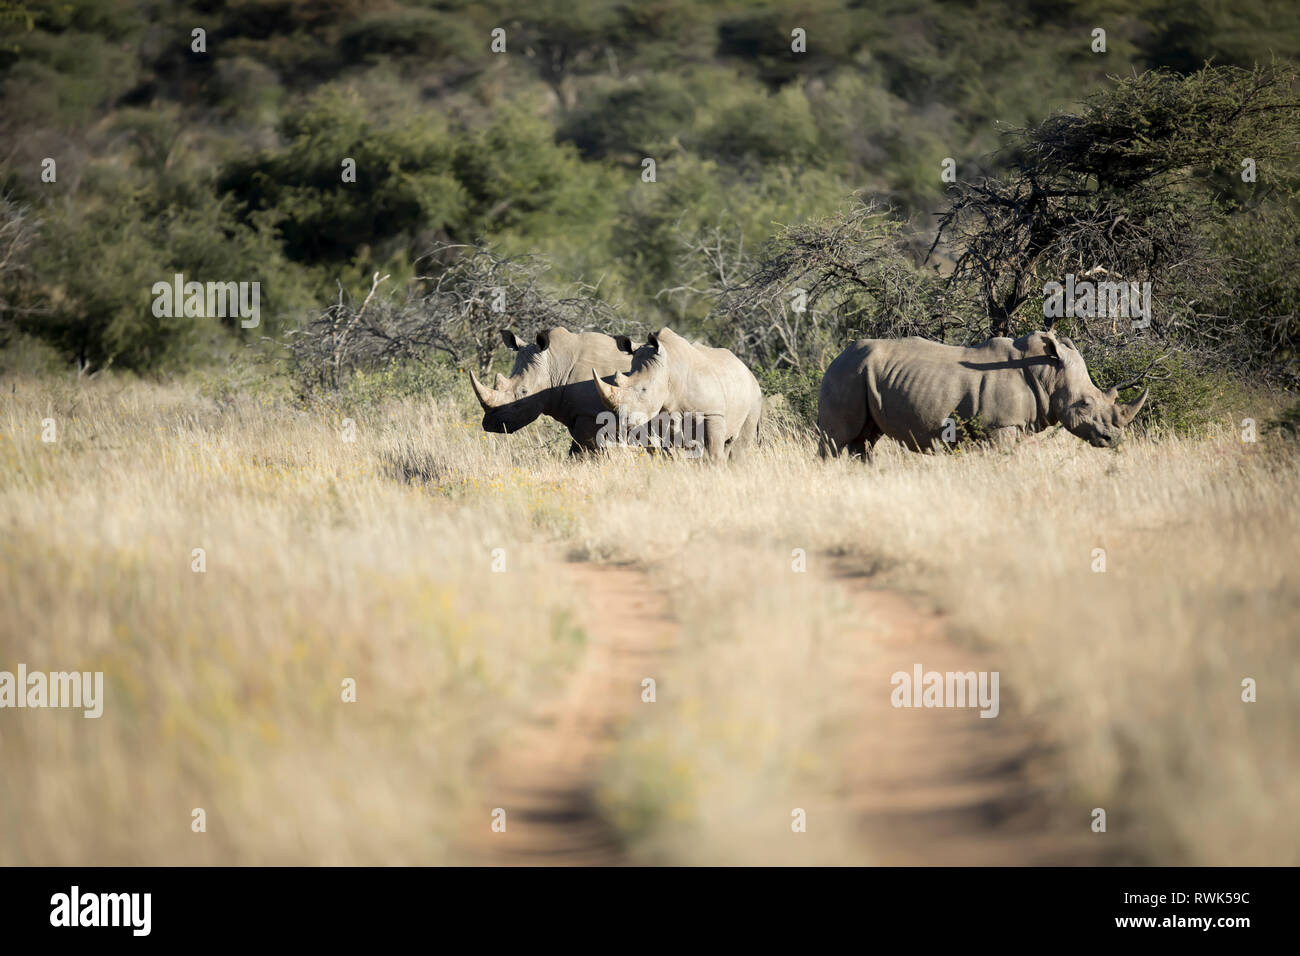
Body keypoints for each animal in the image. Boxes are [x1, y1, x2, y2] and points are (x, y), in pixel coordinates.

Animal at [470, 329, 637, 455]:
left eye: (524, 392)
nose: (489, 424)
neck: (556, 364)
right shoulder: (575, 413)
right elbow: (578, 450)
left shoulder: (590, 414)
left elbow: (584, 451)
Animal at [590, 327, 759, 463]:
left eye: (644, 390)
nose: (621, 420)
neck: (669, 369)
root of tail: (745, 367)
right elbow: (671, 452)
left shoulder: (713, 412)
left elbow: (713, 450)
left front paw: (714, 469)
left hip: (753, 391)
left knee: (738, 443)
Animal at [816, 332, 1154, 460]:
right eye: (1084, 404)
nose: (1113, 439)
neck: (1047, 374)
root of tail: (835, 357)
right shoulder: (1000, 426)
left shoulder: (1009, 426)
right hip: (845, 374)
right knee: (837, 439)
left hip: (860, 374)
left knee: (865, 440)